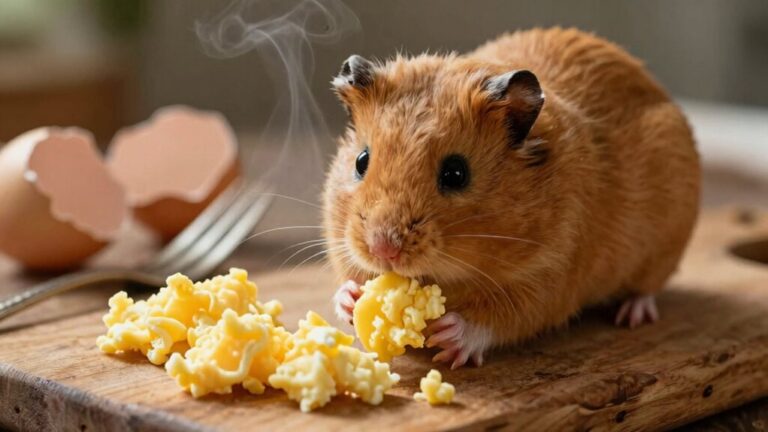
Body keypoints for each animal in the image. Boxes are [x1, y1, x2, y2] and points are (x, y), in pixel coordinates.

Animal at [323, 28, 700, 369]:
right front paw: (351, 300)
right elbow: (346, 279)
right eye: (361, 161)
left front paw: (449, 337)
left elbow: (500, 319)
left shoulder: (550, 277)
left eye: (456, 173)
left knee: (648, 288)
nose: (383, 250)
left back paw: (632, 315)